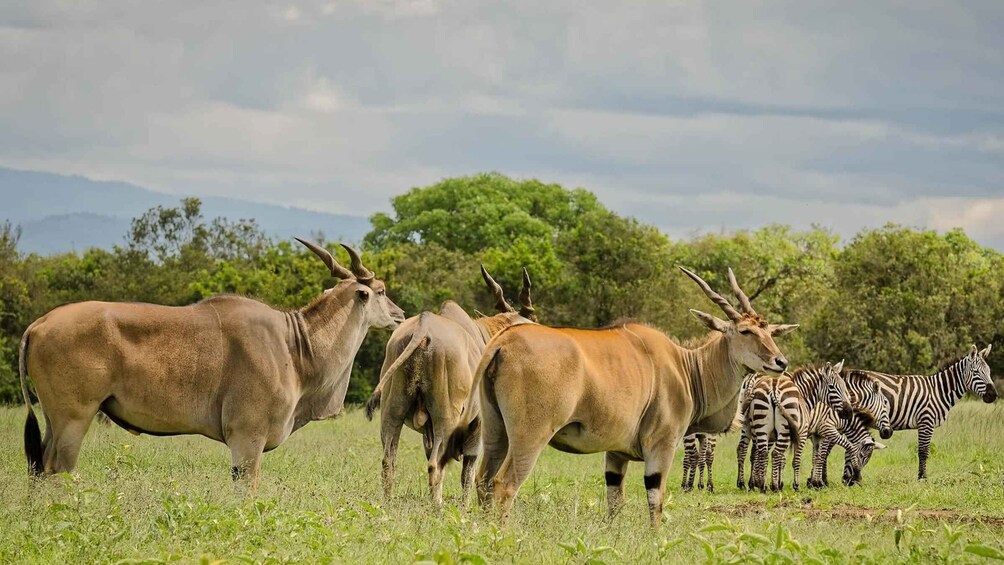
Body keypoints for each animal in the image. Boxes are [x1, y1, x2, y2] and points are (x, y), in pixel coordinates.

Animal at [847, 343, 995, 479]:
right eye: (976, 372)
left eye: (989, 371)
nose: (993, 395)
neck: (939, 391)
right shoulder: (926, 420)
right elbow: (923, 452)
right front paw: (922, 478)